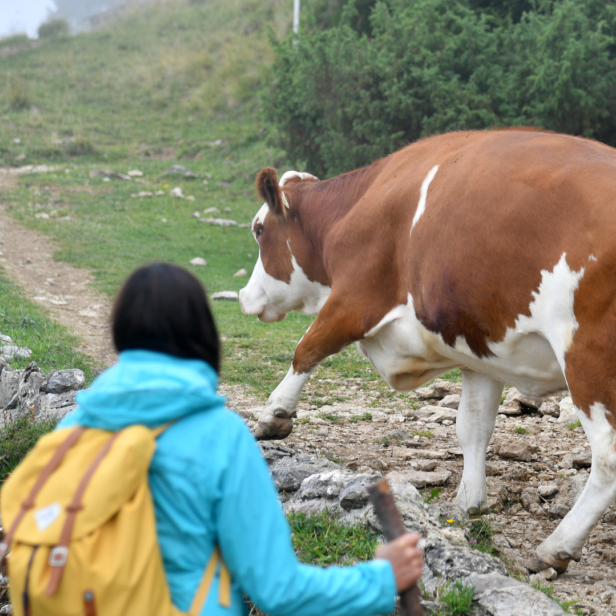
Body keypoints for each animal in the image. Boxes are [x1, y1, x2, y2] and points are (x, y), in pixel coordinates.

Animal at [238, 127, 616, 576]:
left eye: (259, 230)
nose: (243, 296)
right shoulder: (478, 353)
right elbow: (472, 428)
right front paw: (465, 503)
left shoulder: (355, 297)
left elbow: (307, 349)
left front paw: (272, 416)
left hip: (588, 358)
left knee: (608, 458)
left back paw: (556, 546)